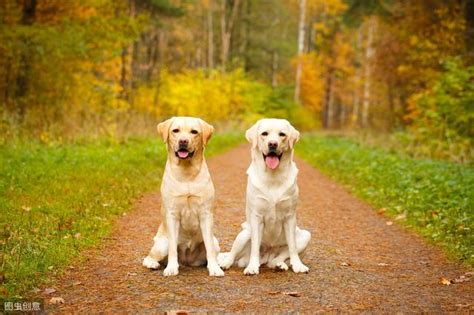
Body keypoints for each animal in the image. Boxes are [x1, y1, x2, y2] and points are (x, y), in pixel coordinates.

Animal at [143, 117, 224, 278]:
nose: (183, 141)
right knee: (149, 257)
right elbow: (173, 249)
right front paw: (171, 268)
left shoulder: (206, 214)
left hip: (215, 241)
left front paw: (214, 269)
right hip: (162, 243)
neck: (186, 173)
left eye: (194, 132)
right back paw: (153, 264)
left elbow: (210, 250)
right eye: (176, 130)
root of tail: (187, 260)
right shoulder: (172, 214)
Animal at [218, 119, 312, 276]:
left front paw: (298, 265)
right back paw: (226, 263)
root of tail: (267, 254)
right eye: (264, 134)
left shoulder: (290, 217)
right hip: (245, 234)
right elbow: (255, 246)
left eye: (282, 134)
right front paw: (252, 267)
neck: (273, 177)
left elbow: (292, 247)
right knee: (233, 254)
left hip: (305, 235)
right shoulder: (257, 217)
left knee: (278, 258)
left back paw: (278, 265)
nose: (272, 144)